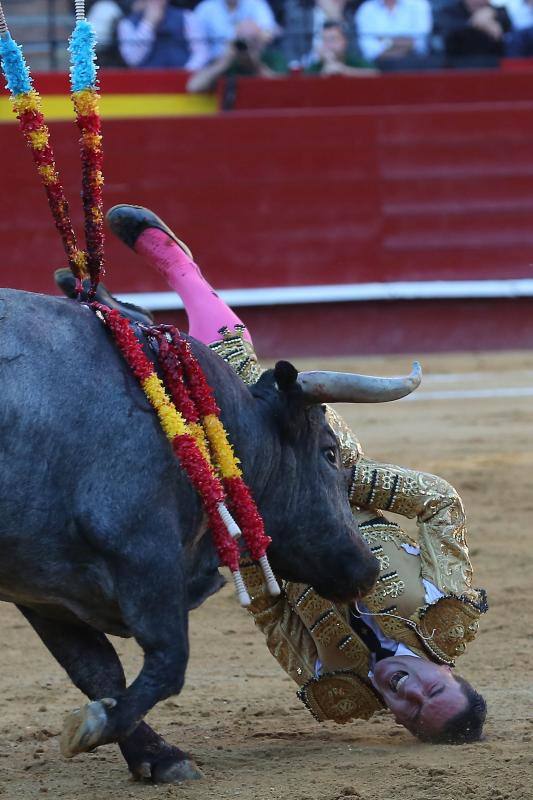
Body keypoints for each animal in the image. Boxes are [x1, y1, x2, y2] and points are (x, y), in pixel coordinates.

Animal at [0, 286, 418, 780]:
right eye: (329, 453)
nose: (367, 568)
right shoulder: (144, 553)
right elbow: (168, 660)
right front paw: (100, 728)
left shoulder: (44, 589)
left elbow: (98, 671)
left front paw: (156, 756)